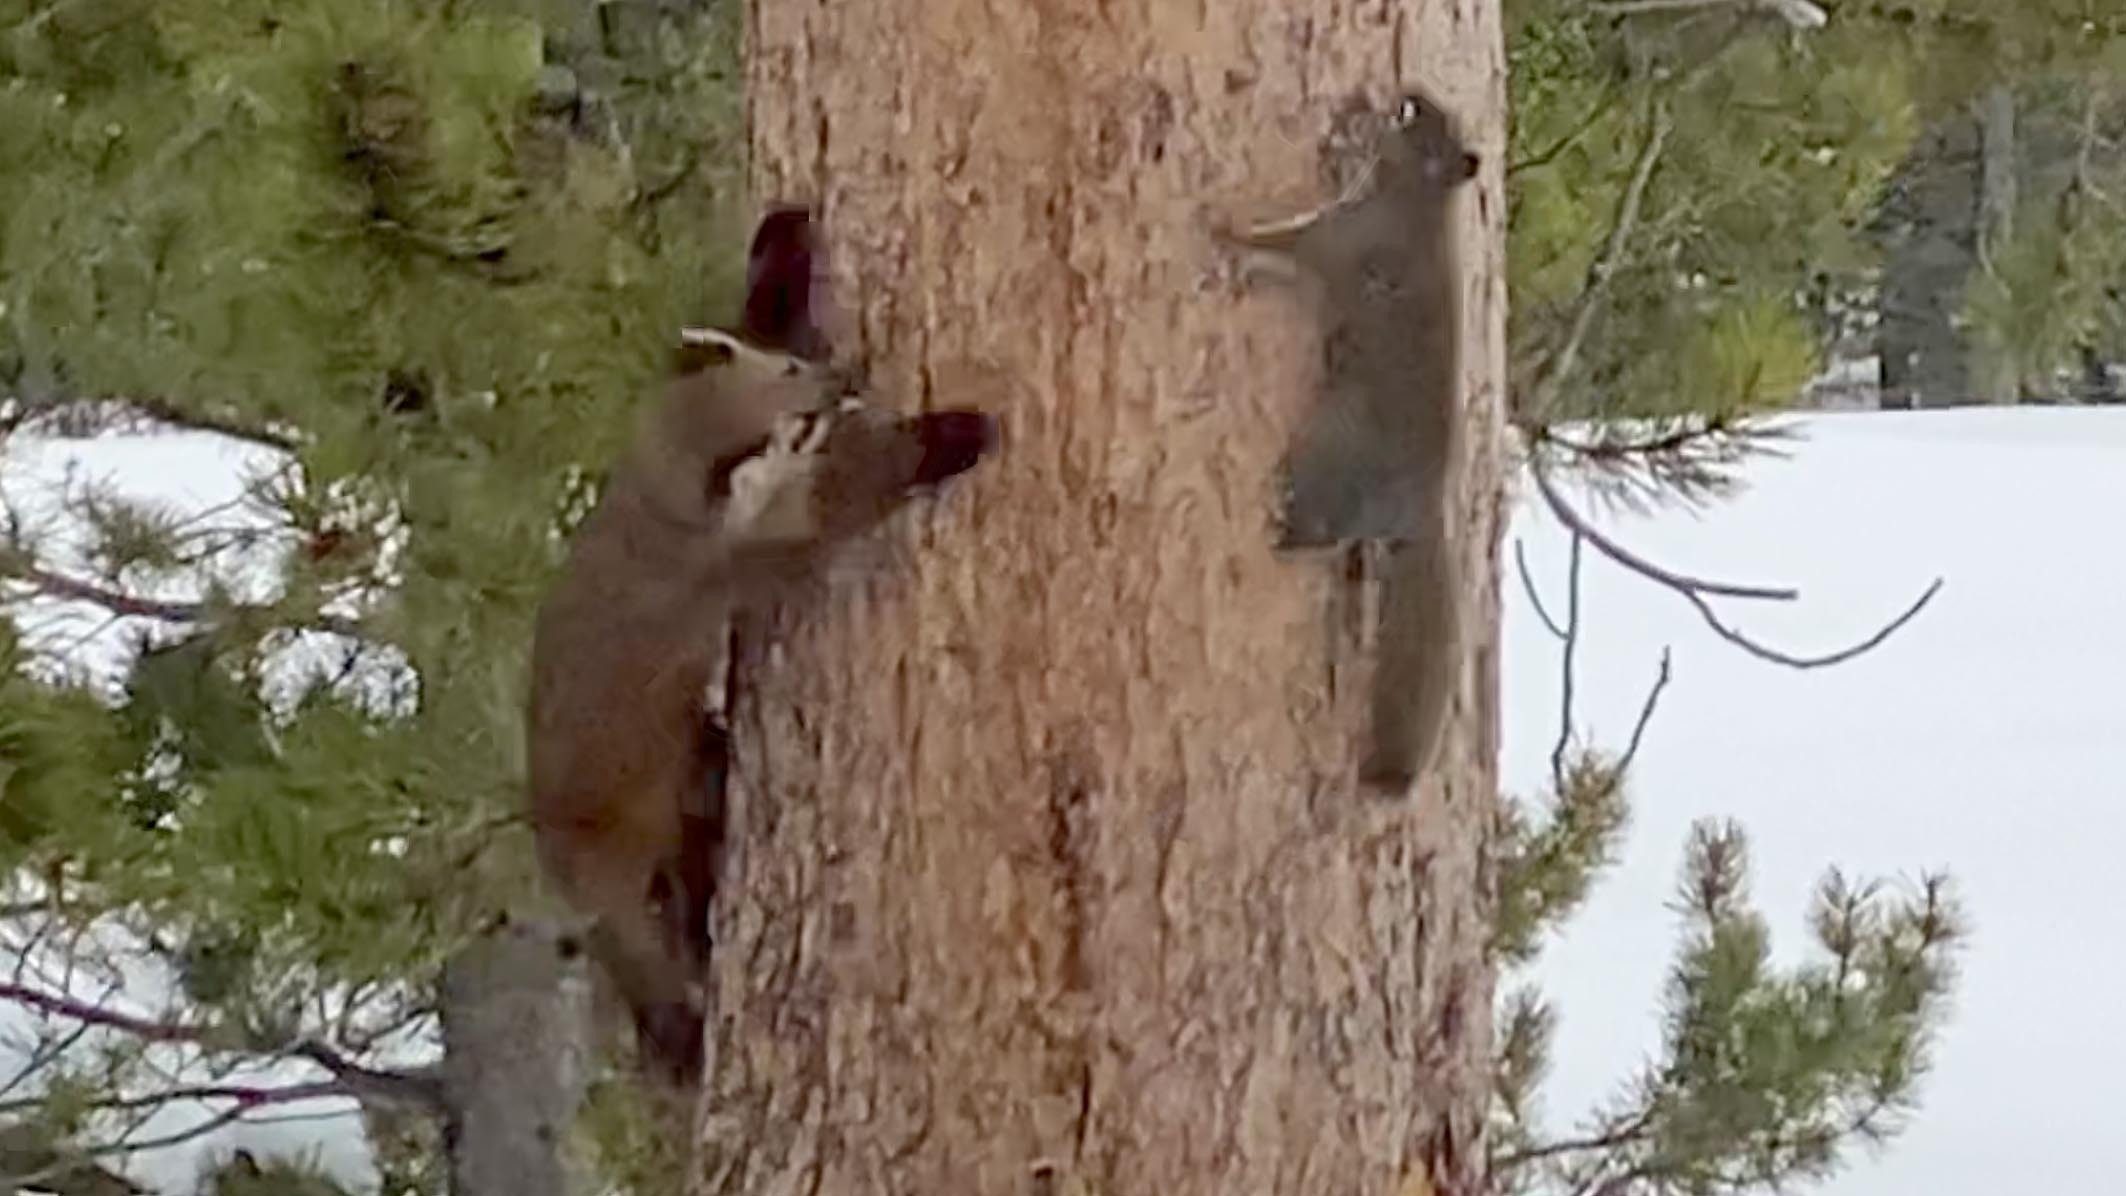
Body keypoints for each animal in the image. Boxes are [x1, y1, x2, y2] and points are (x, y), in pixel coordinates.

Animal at [526, 208, 996, 1087]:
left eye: (791, 366)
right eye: (799, 425)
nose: (845, 378)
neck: (660, 490)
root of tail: (561, 868)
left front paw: (782, 240)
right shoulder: (778, 542)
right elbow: (859, 491)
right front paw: (947, 436)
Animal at [1216, 90, 1480, 795]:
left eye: (1412, 118)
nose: (1399, 91)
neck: (1415, 204)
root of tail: (1417, 512)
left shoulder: (1338, 240)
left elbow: (1286, 244)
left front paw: (1223, 227)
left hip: (1329, 455)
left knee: (1315, 532)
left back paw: (1278, 524)